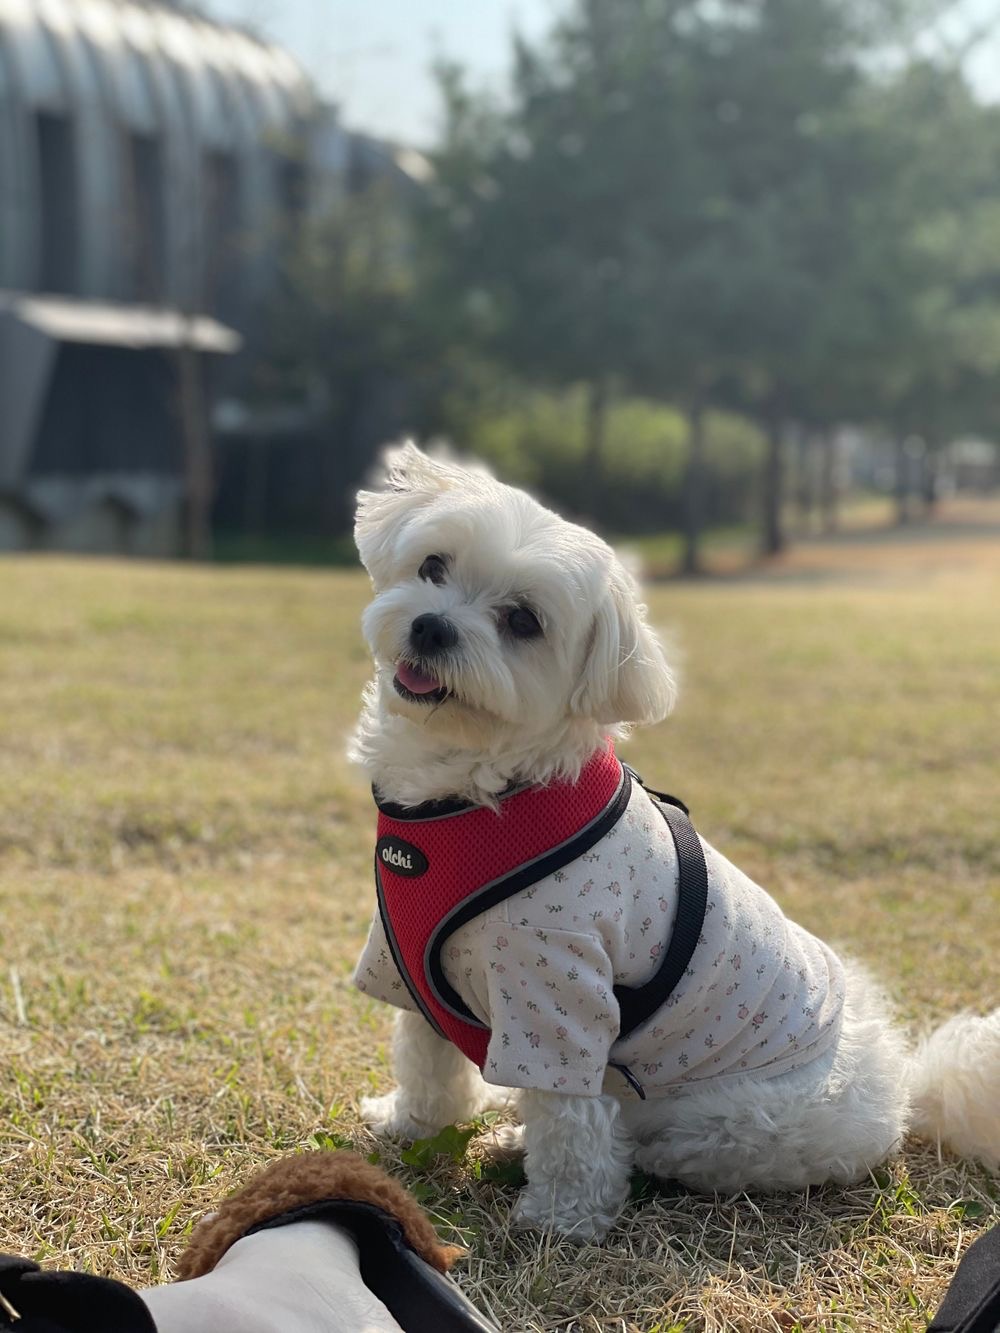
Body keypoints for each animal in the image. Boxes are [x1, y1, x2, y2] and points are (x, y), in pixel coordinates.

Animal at [350, 441, 1000, 1241]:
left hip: (717, 1121)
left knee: (642, 1139)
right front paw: (407, 1126)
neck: (477, 800)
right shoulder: (405, 962)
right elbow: (426, 1061)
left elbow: (572, 1126)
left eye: (523, 621)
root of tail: (906, 1091)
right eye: (433, 566)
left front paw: (561, 1219)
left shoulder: (559, 995)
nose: (432, 628)